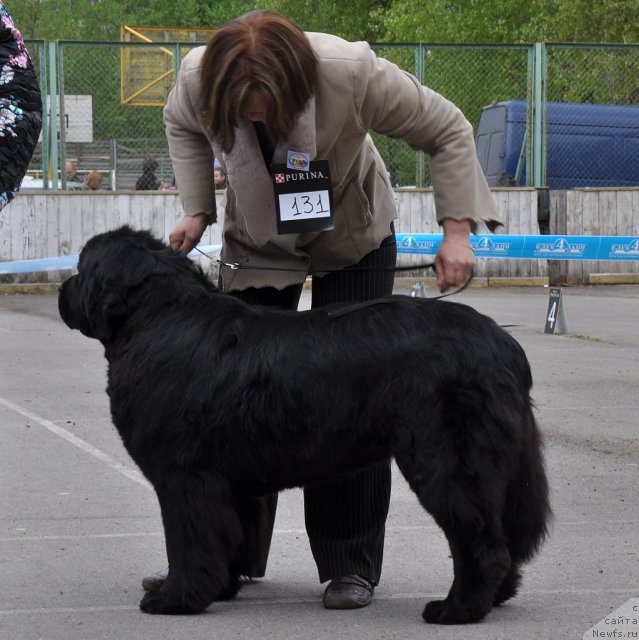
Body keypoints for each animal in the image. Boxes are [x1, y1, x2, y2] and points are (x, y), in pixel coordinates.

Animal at [57, 224, 552, 620]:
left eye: (82, 268)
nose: (63, 288)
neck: (156, 318)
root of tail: (504, 345)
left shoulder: (185, 476)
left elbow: (190, 540)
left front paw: (175, 598)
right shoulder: (226, 482)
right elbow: (226, 536)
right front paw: (217, 588)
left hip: (449, 460)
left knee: (481, 539)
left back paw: (457, 609)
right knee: (502, 534)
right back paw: (494, 597)